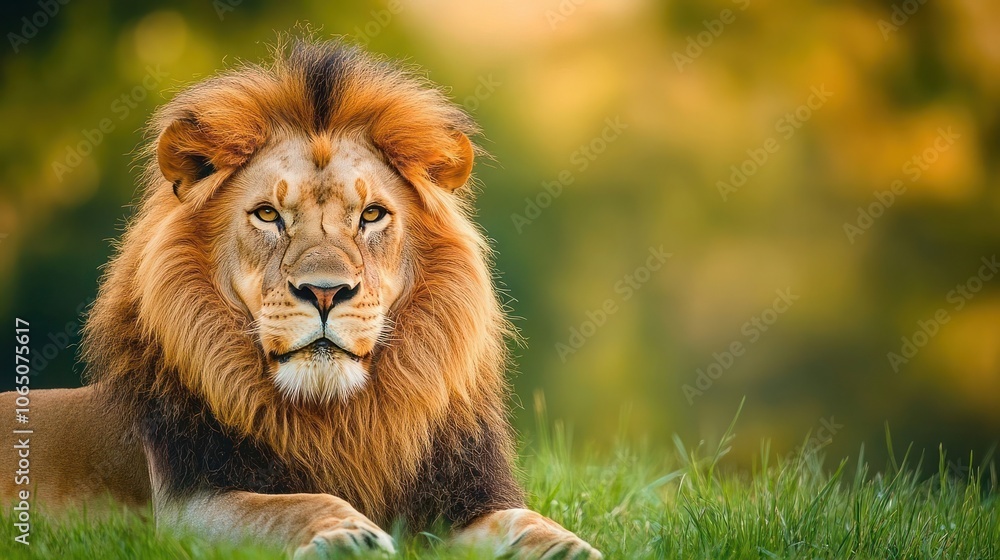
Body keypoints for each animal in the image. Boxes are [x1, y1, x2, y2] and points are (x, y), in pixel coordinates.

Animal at [0, 39, 602, 558]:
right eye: (268, 214)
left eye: (372, 214)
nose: (325, 292)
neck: (337, 418)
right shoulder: (189, 506)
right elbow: (294, 503)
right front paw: (348, 535)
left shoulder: (456, 502)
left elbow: (520, 518)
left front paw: (564, 546)